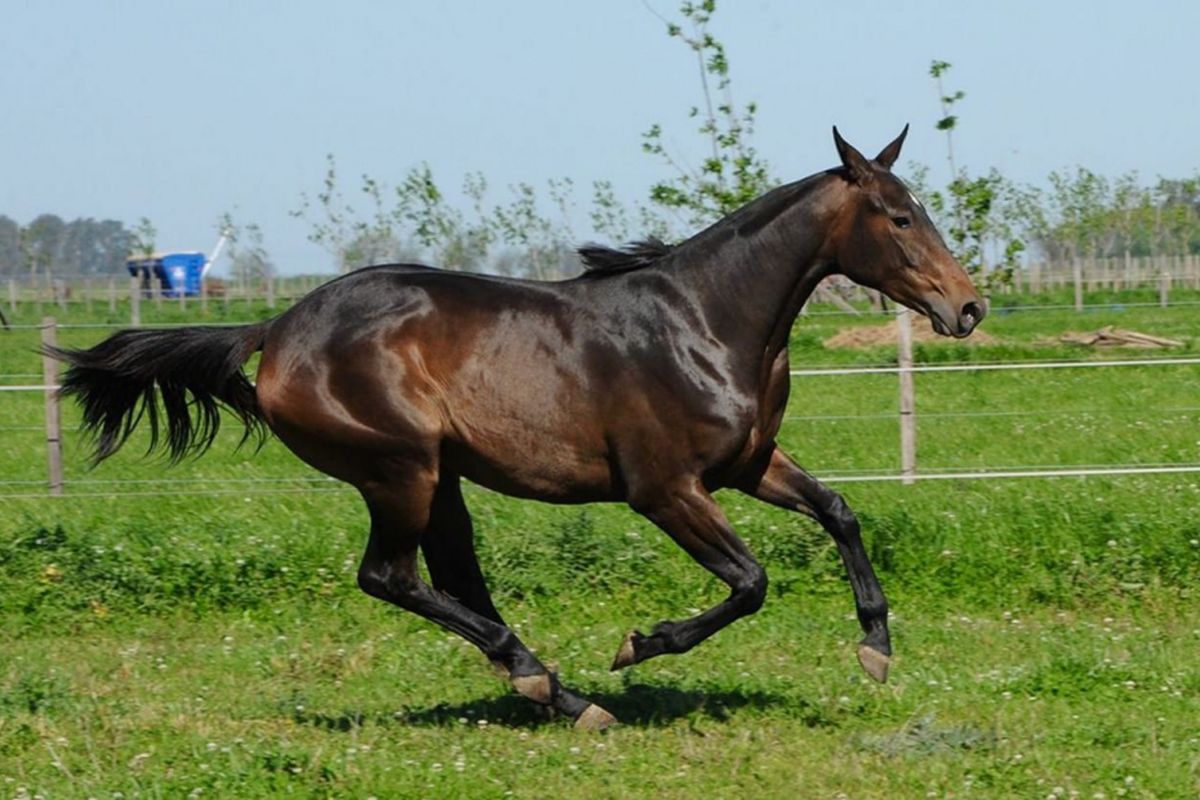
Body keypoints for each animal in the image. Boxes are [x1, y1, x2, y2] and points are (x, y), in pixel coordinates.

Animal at [46, 130, 984, 734]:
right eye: (900, 217)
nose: (966, 306)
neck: (706, 321)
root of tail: (274, 330)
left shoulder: (748, 465)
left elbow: (840, 513)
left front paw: (876, 650)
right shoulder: (665, 490)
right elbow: (750, 582)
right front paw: (639, 645)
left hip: (442, 478)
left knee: (454, 580)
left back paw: (548, 689)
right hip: (400, 470)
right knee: (389, 576)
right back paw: (560, 688)